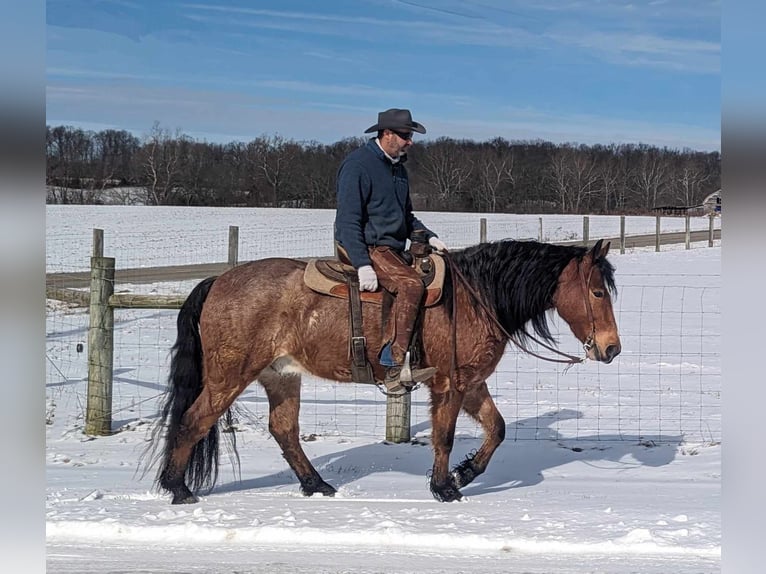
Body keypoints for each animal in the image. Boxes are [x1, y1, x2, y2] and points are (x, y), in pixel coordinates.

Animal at [150, 238, 624, 504]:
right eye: (598, 292)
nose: (612, 348)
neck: (475, 297)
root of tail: (218, 281)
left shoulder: (471, 382)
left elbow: (498, 429)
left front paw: (465, 472)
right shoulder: (449, 383)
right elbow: (444, 435)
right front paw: (444, 487)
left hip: (280, 375)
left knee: (283, 430)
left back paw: (316, 485)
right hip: (229, 376)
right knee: (193, 421)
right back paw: (178, 489)